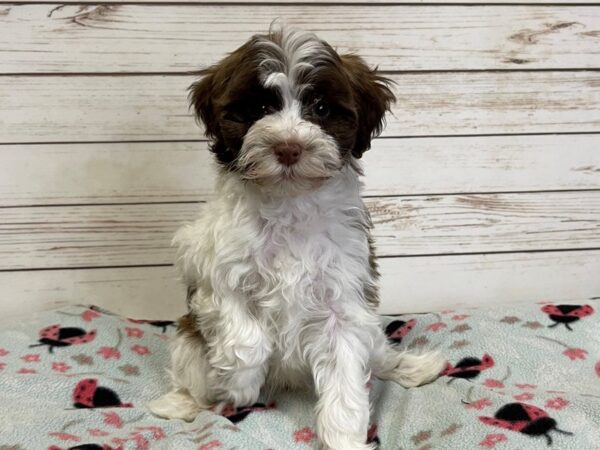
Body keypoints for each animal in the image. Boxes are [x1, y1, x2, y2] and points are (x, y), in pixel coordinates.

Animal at [148, 27, 442, 450]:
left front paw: (344, 440)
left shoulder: (342, 299)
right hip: (189, 343)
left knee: (375, 354)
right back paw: (186, 401)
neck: (289, 205)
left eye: (319, 108)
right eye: (259, 108)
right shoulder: (212, 268)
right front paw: (239, 386)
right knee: (195, 377)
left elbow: (345, 382)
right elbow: (246, 339)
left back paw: (410, 366)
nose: (288, 147)